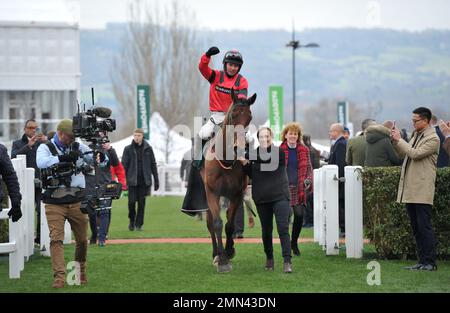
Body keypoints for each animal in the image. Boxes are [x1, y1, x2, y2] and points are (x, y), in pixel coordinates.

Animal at [200, 89, 256, 270]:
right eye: (233, 114)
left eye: (250, 117)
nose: (240, 147)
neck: (226, 160)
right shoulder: (212, 192)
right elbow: (217, 223)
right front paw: (222, 259)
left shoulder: (237, 194)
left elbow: (230, 225)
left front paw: (229, 251)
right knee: (210, 222)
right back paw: (216, 254)